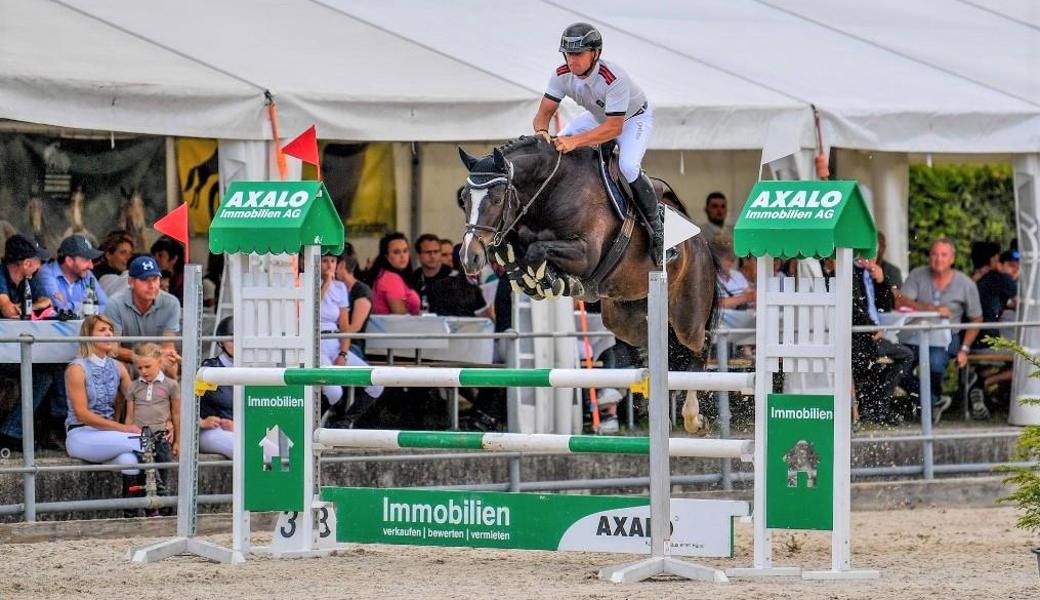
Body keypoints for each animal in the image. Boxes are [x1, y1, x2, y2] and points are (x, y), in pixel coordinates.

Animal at [459, 137, 719, 432]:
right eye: (464, 198)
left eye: (497, 199)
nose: (469, 257)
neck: (549, 192)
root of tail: (702, 242)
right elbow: (514, 249)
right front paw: (530, 276)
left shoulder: (585, 253)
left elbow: (537, 250)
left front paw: (554, 281)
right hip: (624, 318)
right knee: (657, 342)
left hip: (688, 313)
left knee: (699, 343)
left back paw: (693, 416)